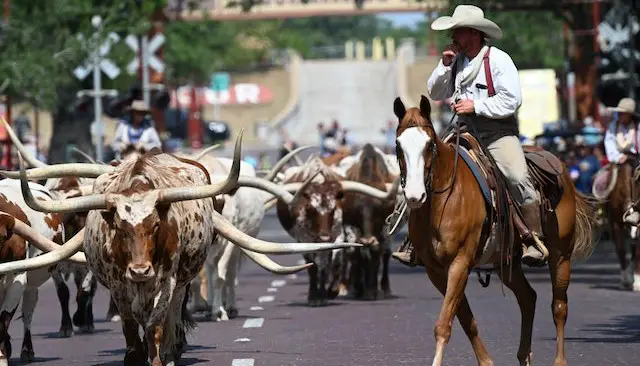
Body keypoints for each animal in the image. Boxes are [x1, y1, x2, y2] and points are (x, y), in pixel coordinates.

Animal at [392, 96, 596, 366]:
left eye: (430, 145)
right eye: (398, 145)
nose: (415, 196)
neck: (443, 201)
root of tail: (561, 166)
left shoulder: (460, 263)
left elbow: (444, 324)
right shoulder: (436, 271)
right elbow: (466, 320)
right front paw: (486, 361)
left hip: (561, 254)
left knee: (559, 306)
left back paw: (559, 360)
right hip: (507, 263)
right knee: (528, 298)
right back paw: (524, 356)